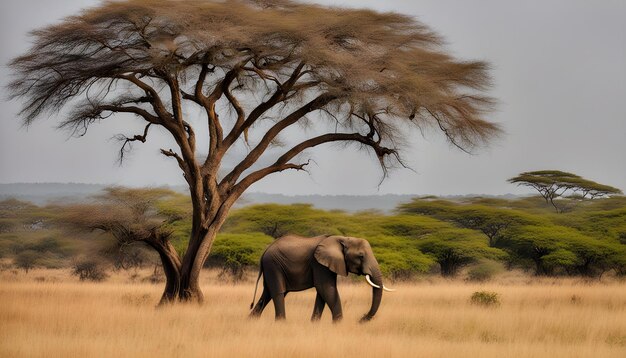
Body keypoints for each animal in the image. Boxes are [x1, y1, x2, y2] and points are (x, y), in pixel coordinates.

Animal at [247, 234, 390, 324]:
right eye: (361, 256)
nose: (361, 319)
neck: (343, 238)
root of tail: (265, 251)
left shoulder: (327, 264)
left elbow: (323, 293)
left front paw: (314, 324)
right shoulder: (319, 264)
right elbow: (326, 289)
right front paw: (338, 325)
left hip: (272, 267)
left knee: (268, 293)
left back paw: (251, 321)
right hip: (273, 265)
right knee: (278, 293)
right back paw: (281, 323)